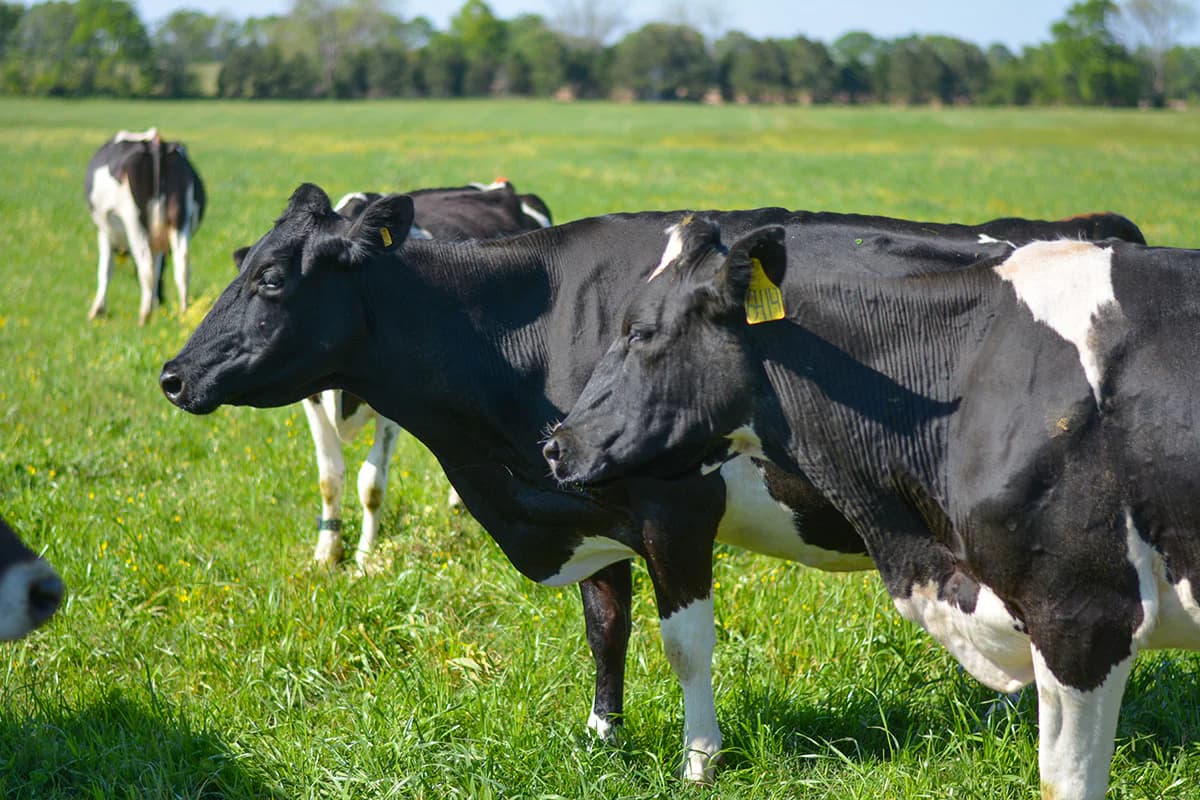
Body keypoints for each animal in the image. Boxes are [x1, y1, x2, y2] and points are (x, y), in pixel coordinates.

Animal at [85, 128, 206, 325]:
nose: (162, 299)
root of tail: (155, 144)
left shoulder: (104, 231)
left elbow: (105, 269)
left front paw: (97, 310)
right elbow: (158, 269)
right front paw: (155, 303)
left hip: (133, 219)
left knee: (146, 266)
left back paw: (144, 317)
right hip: (180, 220)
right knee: (182, 265)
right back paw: (183, 311)